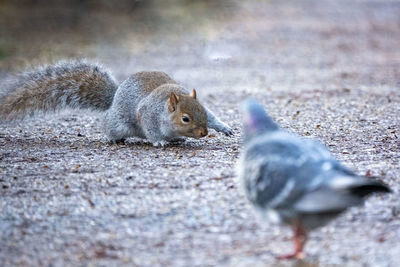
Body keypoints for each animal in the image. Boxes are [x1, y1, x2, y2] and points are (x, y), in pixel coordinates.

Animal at [0, 60, 233, 147]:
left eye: (203, 113)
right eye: (185, 118)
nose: (204, 133)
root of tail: (113, 98)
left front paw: (224, 127)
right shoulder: (148, 114)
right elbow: (151, 130)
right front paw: (159, 141)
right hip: (118, 122)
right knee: (108, 126)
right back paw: (115, 138)